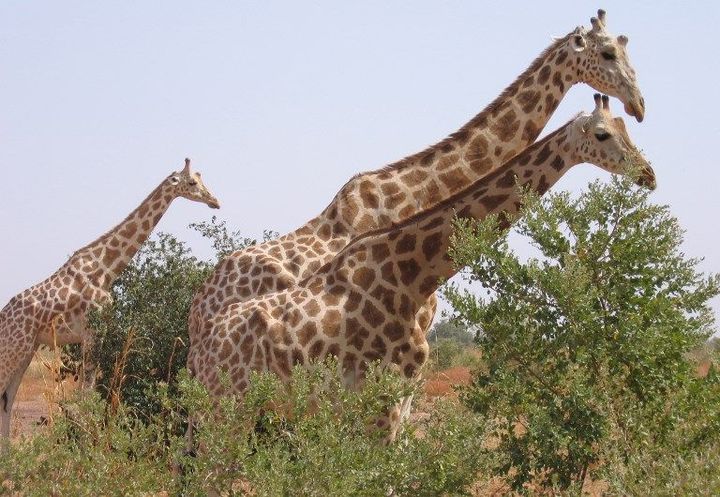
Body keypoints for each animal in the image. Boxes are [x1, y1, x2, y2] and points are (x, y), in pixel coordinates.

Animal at [0, 160, 219, 438]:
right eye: (192, 183)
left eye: (202, 181)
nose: (215, 201)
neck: (105, 268)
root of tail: (3, 317)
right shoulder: (92, 332)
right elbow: (84, 399)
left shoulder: (94, 333)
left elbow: (87, 396)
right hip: (13, 348)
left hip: (26, 350)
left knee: (7, 400)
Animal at [190, 95, 660, 440]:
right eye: (602, 133)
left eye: (628, 129)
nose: (649, 174)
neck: (413, 278)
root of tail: (203, 338)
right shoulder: (380, 402)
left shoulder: (403, 396)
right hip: (225, 408)